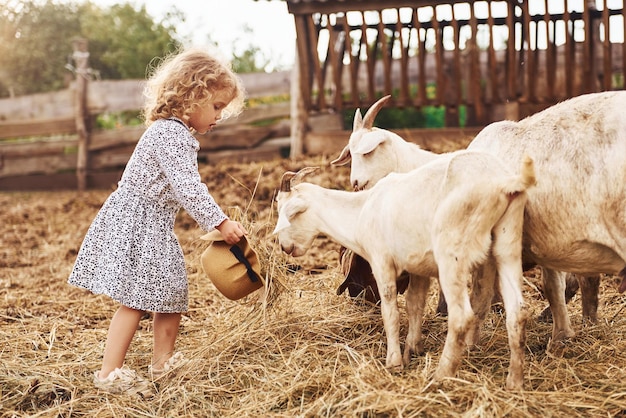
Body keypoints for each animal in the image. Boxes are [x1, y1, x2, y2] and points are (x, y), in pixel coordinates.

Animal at [276, 152, 532, 390]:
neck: (361, 210)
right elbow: (414, 305)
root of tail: (504, 182)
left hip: (452, 253)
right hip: (507, 241)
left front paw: (394, 361)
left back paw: (441, 375)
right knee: (516, 311)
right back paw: (515, 382)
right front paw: (413, 350)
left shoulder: (381, 261)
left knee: (461, 316)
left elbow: (390, 311)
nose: (284, 247)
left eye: (285, 211)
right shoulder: (418, 268)